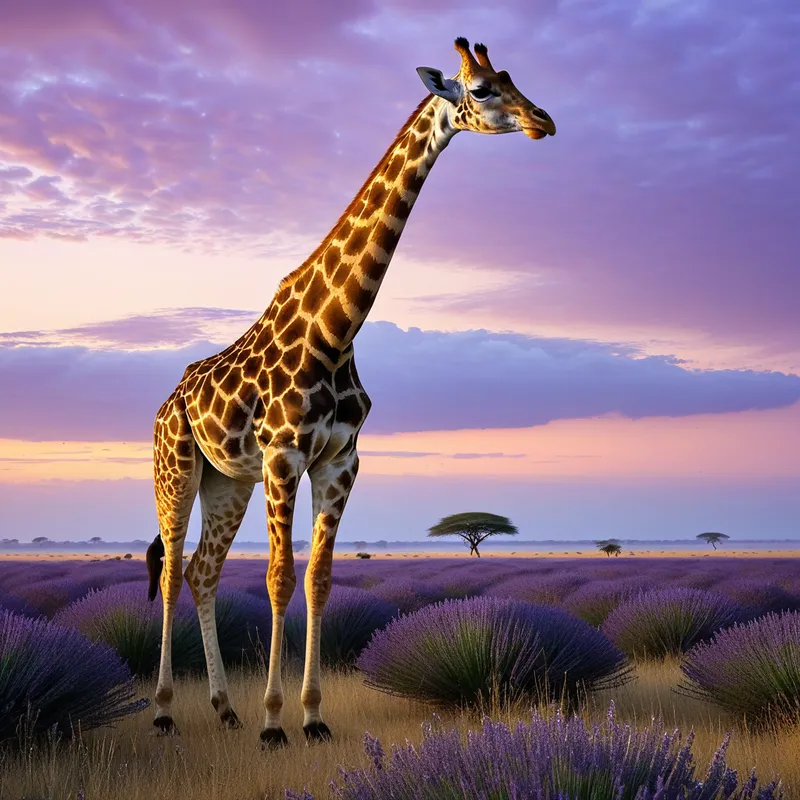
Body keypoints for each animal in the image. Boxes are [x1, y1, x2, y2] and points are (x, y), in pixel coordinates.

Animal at [146, 37, 555, 747]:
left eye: (513, 78)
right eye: (481, 90)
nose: (544, 121)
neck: (336, 330)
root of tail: (164, 407)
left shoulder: (340, 460)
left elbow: (319, 580)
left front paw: (312, 717)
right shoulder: (284, 455)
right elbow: (280, 579)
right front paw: (274, 723)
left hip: (228, 481)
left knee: (203, 571)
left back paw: (224, 709)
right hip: (177, 470)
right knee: (172, 573)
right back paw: (168, 711)